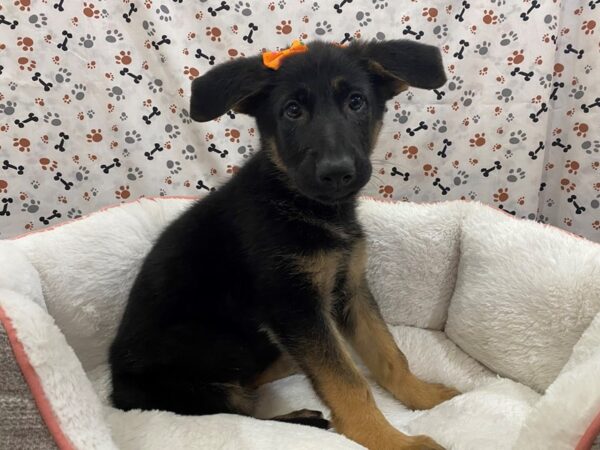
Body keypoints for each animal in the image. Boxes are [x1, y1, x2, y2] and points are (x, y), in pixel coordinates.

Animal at [110, 40, 460, 448]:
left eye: (356, 102)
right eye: (292, 111)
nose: (337, 172)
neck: (303, 204)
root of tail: (116, 393)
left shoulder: (349, 289)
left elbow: (389, 354)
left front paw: (423, 395)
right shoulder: (295, 305)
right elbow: (347, 381)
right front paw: (387, 438)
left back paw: (287, 363)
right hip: (205, 358)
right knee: (238, 409)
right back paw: (303, 416)